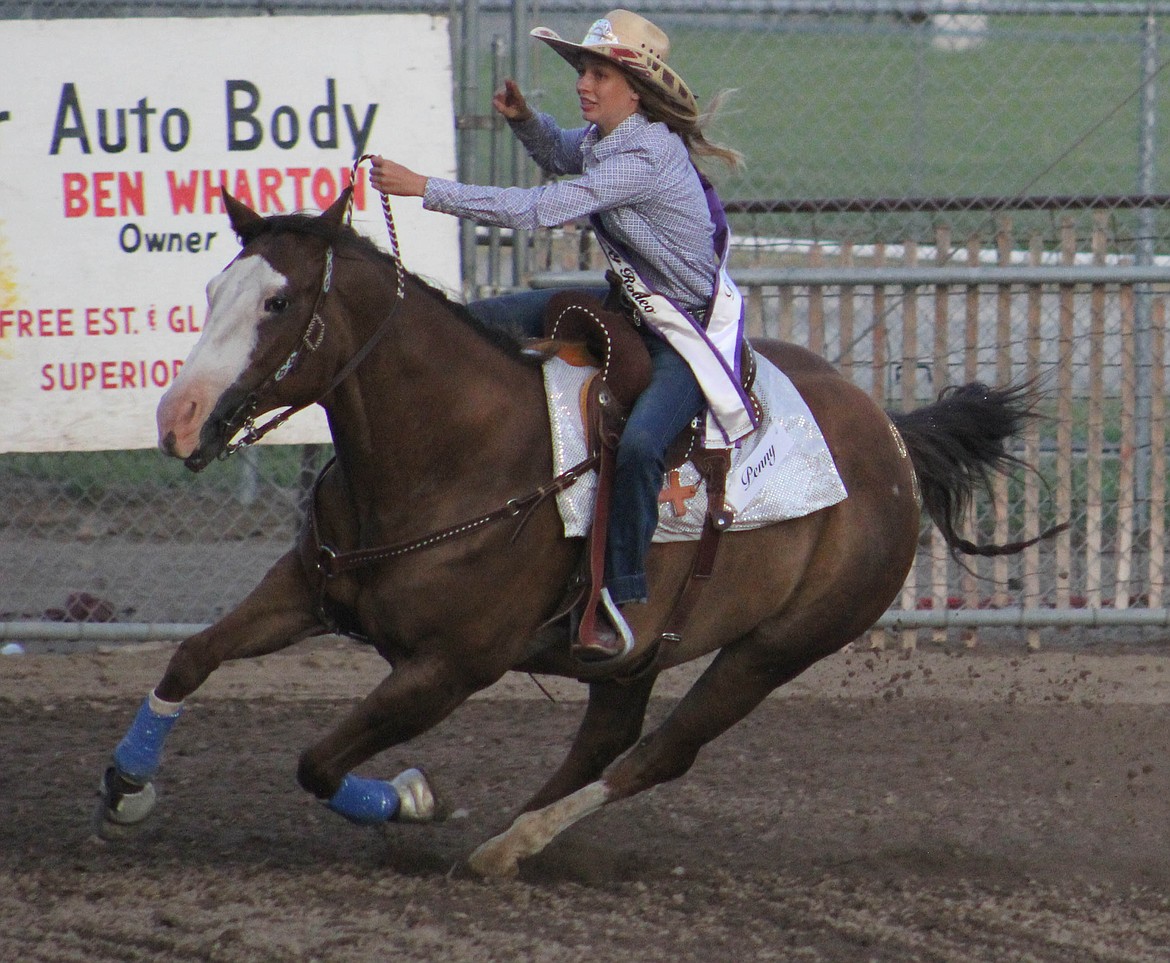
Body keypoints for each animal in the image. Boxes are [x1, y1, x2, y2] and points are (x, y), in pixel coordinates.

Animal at [95, 188, 1053, 879]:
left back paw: (507, 847)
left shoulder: (449, 668)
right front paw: (127, 784)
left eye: (280, 300)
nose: (177, 420)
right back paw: (514, 834)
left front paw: (414, 799)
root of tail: (892, 437)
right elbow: (191, 655)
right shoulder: (307, 587)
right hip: (640, 650)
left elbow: (319, 763)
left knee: (660, 752)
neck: (457, 451)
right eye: (214, 290)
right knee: (609, 736)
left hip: (780, 646)